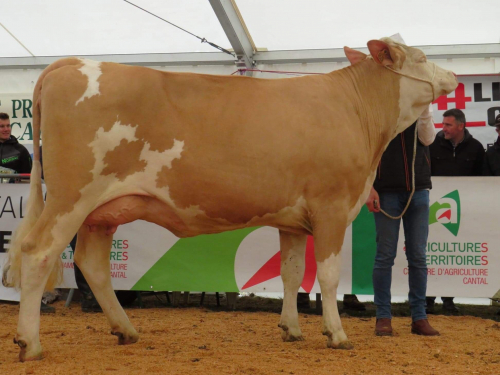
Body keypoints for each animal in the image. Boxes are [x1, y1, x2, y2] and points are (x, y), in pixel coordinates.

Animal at [3, 37, 458, 362]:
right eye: (420, 57)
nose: (454, 75)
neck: (358, 112)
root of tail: (70, 63)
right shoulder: (331, 208)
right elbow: (327, 276)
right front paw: (337, 334)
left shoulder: (293, 220)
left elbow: (292, 273)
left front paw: (291, 330)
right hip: (71, 197)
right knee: (38, 251)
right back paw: (30, 343)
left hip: (102, 211)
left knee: (92, 264)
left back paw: (125, 330)